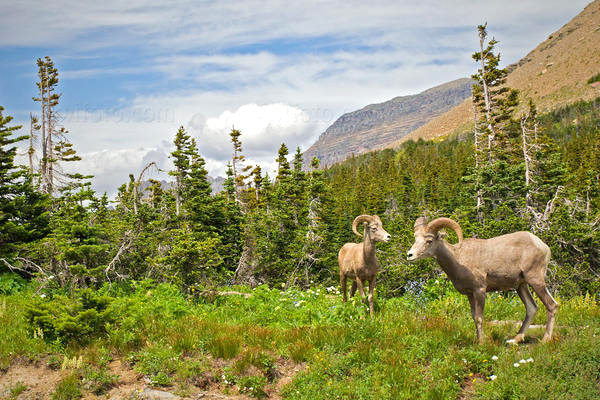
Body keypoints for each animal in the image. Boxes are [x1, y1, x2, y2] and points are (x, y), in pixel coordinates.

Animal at [408, 217, 556, 342]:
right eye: (415, 239)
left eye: (429, 241)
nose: (410, 255)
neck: (458, 259)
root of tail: (543, 246)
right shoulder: (470, 294)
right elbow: (474, 317)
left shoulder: (479, 290)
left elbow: (479, 317)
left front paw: (482, 342)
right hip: (521, 286)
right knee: (532, 308)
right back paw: (515, 340)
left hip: (535, 280)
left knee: (551, 305)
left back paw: (545, 340)